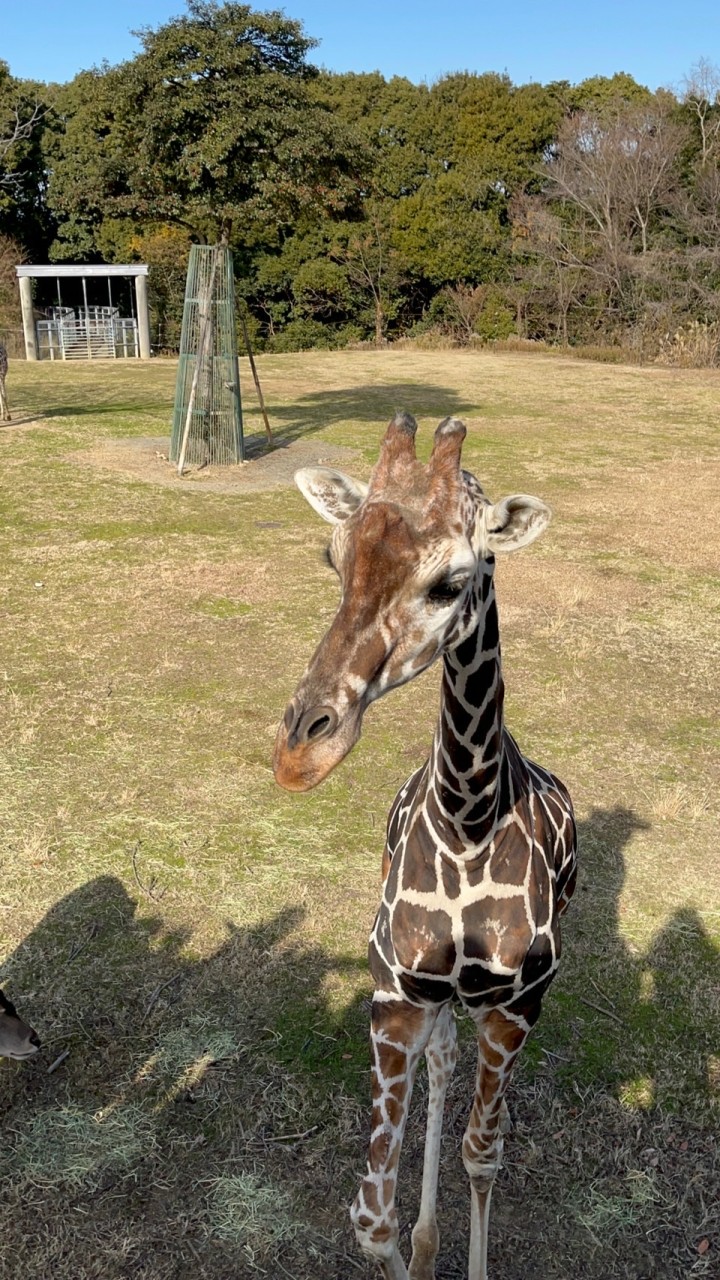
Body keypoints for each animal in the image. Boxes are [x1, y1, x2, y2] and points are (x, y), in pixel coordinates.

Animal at [271, 412, 573, 1280]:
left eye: (450, 582)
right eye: (333, 557)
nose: (299, 755)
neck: (467, 819)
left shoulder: (516, 1006)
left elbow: (483, 1152)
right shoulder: (395, 996)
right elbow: (372, 1220)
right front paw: (413, 1245)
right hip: (436, 1004)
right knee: (441, 1065)